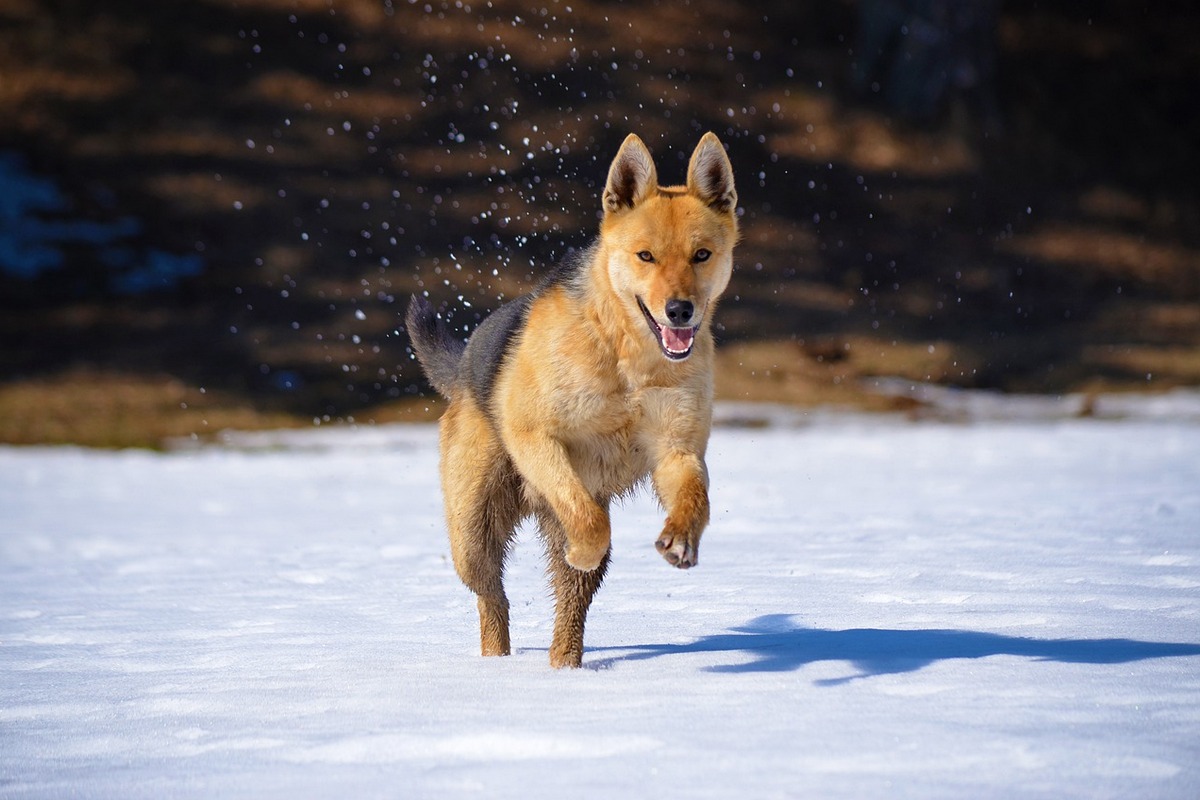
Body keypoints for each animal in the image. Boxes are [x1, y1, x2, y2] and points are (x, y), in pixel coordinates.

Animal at [408, 133, 734, 671]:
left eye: (702, 254)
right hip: (473, 535)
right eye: (646, 256)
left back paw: (565, 668)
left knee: (569, 606)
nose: (680, 311)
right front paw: (584, 546)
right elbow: (590, 522)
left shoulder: (678, 452)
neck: (626, 354)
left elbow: (696, 500)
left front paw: (682, 539)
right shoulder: (536, 438)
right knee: (493, 598)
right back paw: (496, 665)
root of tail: (463, 365)